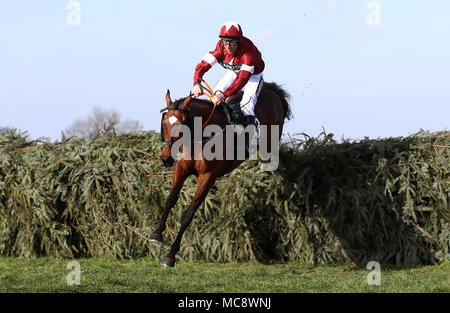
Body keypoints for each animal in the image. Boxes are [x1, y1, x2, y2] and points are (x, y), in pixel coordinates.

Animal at [151, 81, 292, 266]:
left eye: (181, 128)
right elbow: (170, 199)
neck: (200, 137)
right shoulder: (181, 168)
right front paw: (156, 233)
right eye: (164, 124)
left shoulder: (208, 176)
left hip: (270, 142)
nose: (166, 158)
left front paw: (170, 255)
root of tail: (272, 90)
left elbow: (188, 214)